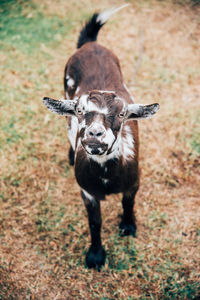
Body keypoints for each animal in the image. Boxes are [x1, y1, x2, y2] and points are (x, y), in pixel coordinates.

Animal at [43, 5, 159, 270]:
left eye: (123, 113)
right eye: (79, 110)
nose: (95, 134)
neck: (106, 177)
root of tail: (91, 44)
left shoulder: (134, 181)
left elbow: (128, 203)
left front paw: (128, 227)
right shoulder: (87, 192)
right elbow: (94, 222)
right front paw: (95, 257)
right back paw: (70, 155)